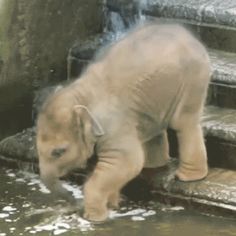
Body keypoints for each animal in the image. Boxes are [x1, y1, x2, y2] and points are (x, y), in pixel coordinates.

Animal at [37, 22, 210, 221]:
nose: (73, 198)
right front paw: (113, 204)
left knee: (184, 123)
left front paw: (94, 218)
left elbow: (128, 160)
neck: (80, 95)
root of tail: (190, 35)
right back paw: (154, 166)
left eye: (58, 152)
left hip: (193, 80)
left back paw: (188, 177)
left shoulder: (112, 123)